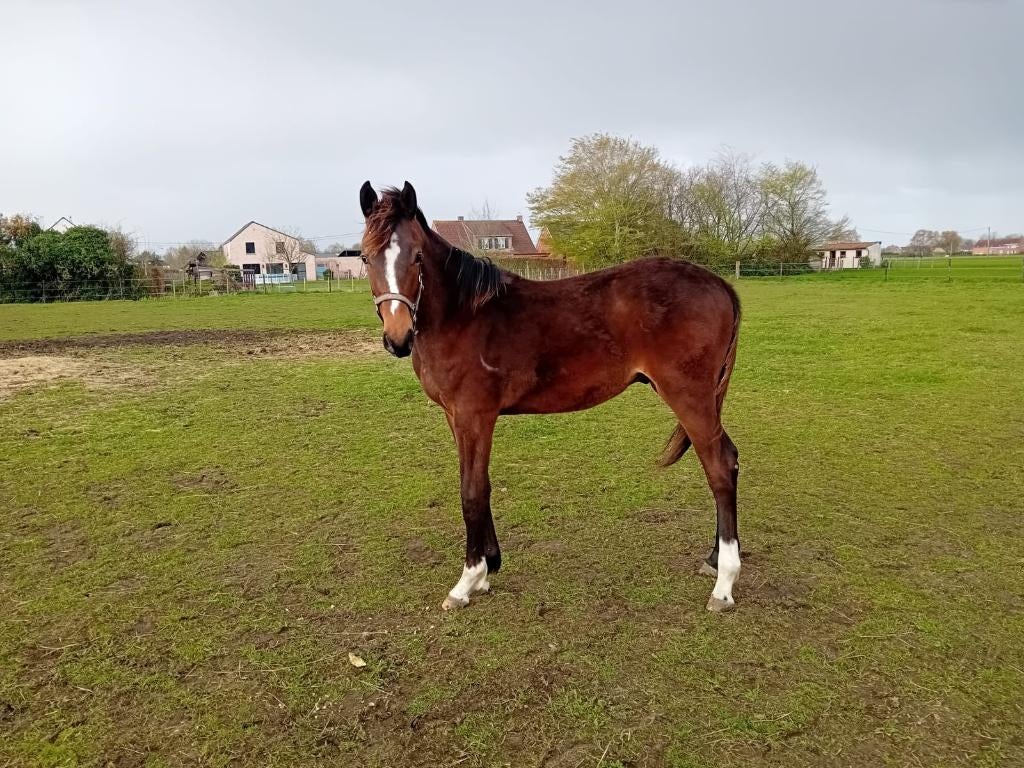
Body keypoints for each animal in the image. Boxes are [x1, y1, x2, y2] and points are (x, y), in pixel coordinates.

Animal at [358, 181, 743, 612]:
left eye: (417, 257)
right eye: (366, 257)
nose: (398, 338)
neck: (463, 316)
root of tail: (720, 285)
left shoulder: (475, 415)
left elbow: (471, 491)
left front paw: (467, 581)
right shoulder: (456, 417)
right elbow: (479, 484)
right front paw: (489, 568)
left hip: (689, 397)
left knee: (719, 468)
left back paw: (724, 584)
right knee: (729, 459)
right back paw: (713, 560)